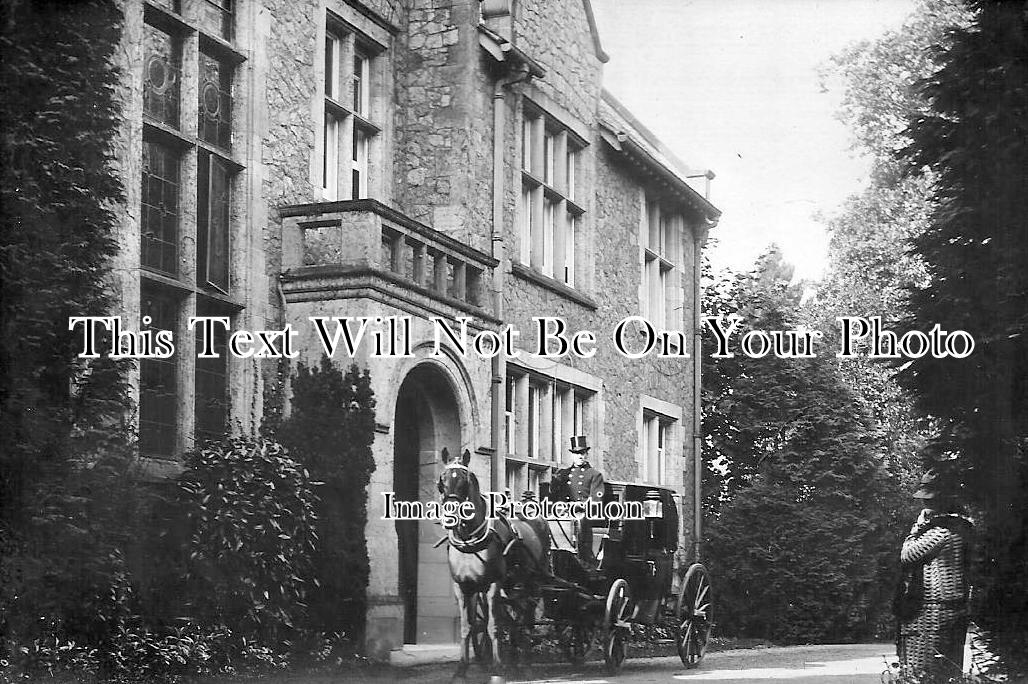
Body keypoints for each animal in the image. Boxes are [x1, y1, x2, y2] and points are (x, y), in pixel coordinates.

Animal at [435, 448, 551, 678]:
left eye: (464, 481)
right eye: (442, 481)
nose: (450, 518)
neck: (469, 539)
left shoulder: (492, 585)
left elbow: (493, 625)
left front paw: (497, 668)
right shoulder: (463, 587)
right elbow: (468, 626)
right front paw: (462, 669)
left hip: (534, 583)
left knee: (527, 619)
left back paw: (525, 664)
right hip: (515, 587)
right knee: (516, 619)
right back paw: (514, 661)